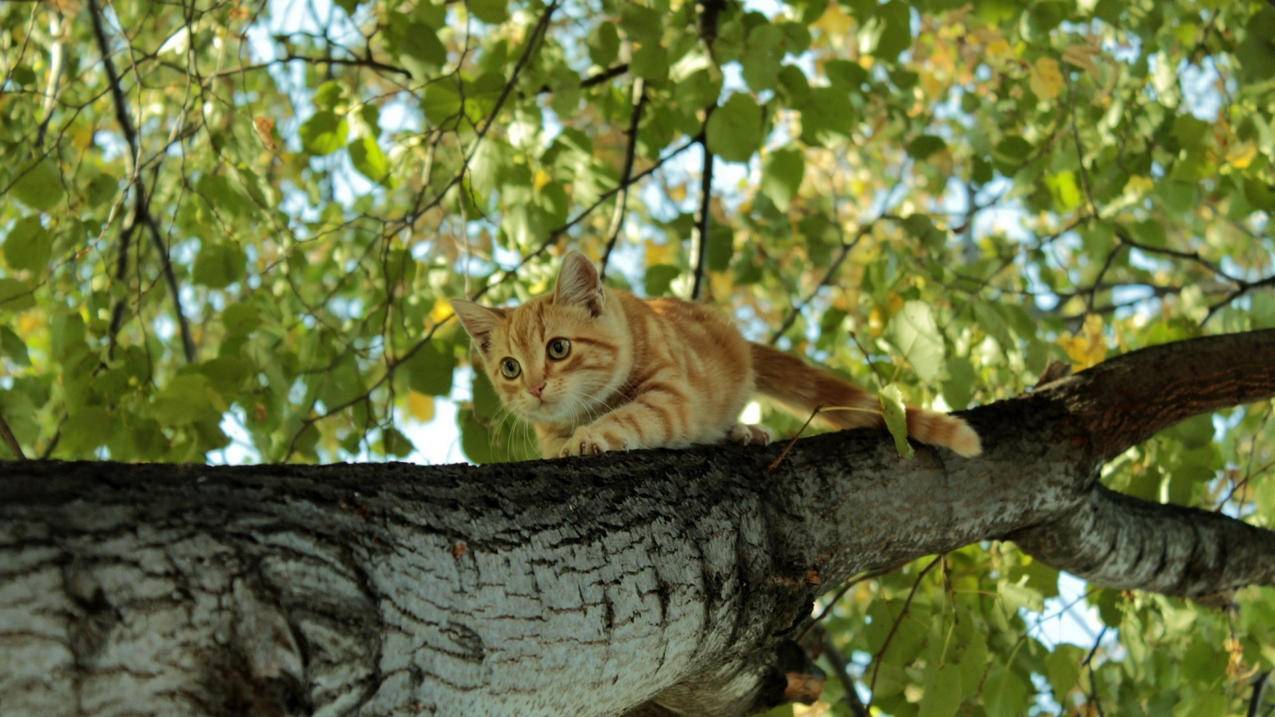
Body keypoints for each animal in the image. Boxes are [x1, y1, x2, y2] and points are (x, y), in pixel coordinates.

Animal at [453, 251, 979, 456]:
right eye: (510, 368)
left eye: (558, 348)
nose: (536, 387)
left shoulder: (672, 396)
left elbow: (629, 416)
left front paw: (589, 437)